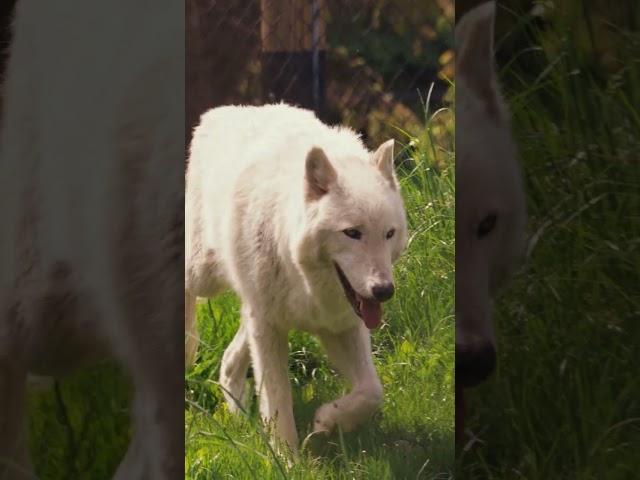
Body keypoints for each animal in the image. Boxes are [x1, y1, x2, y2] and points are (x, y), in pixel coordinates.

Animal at [185, 103, 408, 452]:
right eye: (352, 233)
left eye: (389, 234)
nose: (384, 290)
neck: (306, 280)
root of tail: (221, 112)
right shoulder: (269, 327)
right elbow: (278, 402)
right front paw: (286, 458)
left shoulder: (340, 326)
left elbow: (372, 392)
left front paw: (328, 421)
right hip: (205, 275)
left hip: (252, 305)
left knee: (230, 359)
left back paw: (239, 416)